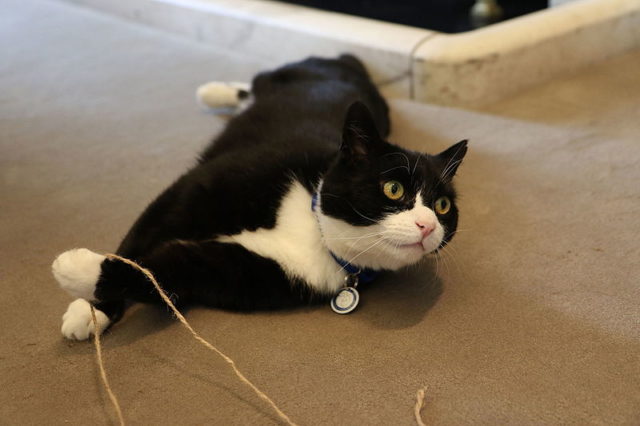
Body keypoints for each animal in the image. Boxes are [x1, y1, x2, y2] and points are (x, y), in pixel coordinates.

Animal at [52, 55, 468, 340]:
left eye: (443, 207)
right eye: (393, 188)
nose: (427, 225)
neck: (314, 229)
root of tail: (349, 63)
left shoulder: (242, 271)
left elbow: (165, 273)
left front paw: (81, 275)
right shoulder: (199, 189)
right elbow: (143, 233)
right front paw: (89, 307)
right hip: (286, 77)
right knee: (255, 81)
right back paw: (213, 90)